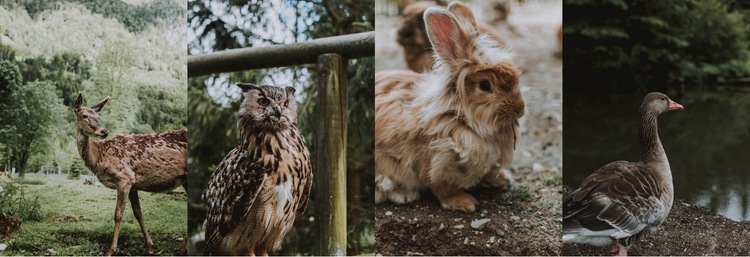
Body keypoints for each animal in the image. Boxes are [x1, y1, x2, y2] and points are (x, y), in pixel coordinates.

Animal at [74, 91, 189, 255]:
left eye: (97, 116)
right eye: (84, 115)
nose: (104, 131)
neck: (99, 156)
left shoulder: (124, 177)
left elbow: (118, 214)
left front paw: (110, 250)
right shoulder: (133, 183)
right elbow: (138, 213)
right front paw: (150, 246)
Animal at [378, 1, 524, 211]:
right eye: (485, 85)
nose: (520, 108)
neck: (460, 117)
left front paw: (502, 180)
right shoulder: (433, 163)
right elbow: (442, 187)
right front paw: (464, 203)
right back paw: (405, 194)